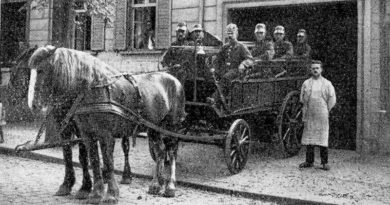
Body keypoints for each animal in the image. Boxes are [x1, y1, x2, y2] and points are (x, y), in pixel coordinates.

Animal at [9, 45, 133, 199]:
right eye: (26, 69)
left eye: (41, 70)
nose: (34, 105)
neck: (74, 91)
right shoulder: (65, 128)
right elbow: (67, 154)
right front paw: (67, 184)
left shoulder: (81, 129)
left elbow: (83, 157)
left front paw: (85, 187)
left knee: (125, 147)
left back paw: (126, 175)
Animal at [26, 45, 187, 204]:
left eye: (41, 70)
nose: (33, 105)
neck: (93, 89)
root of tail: (174, 79)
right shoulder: (86, 134)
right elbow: (93, 160)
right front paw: (95, 193)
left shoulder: (105, 135)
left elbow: (108, 162)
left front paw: (110, 194)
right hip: (154, 128)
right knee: (160, 152)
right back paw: (156, 185)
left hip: (172, 126)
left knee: (171, 153)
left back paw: (170, 186)